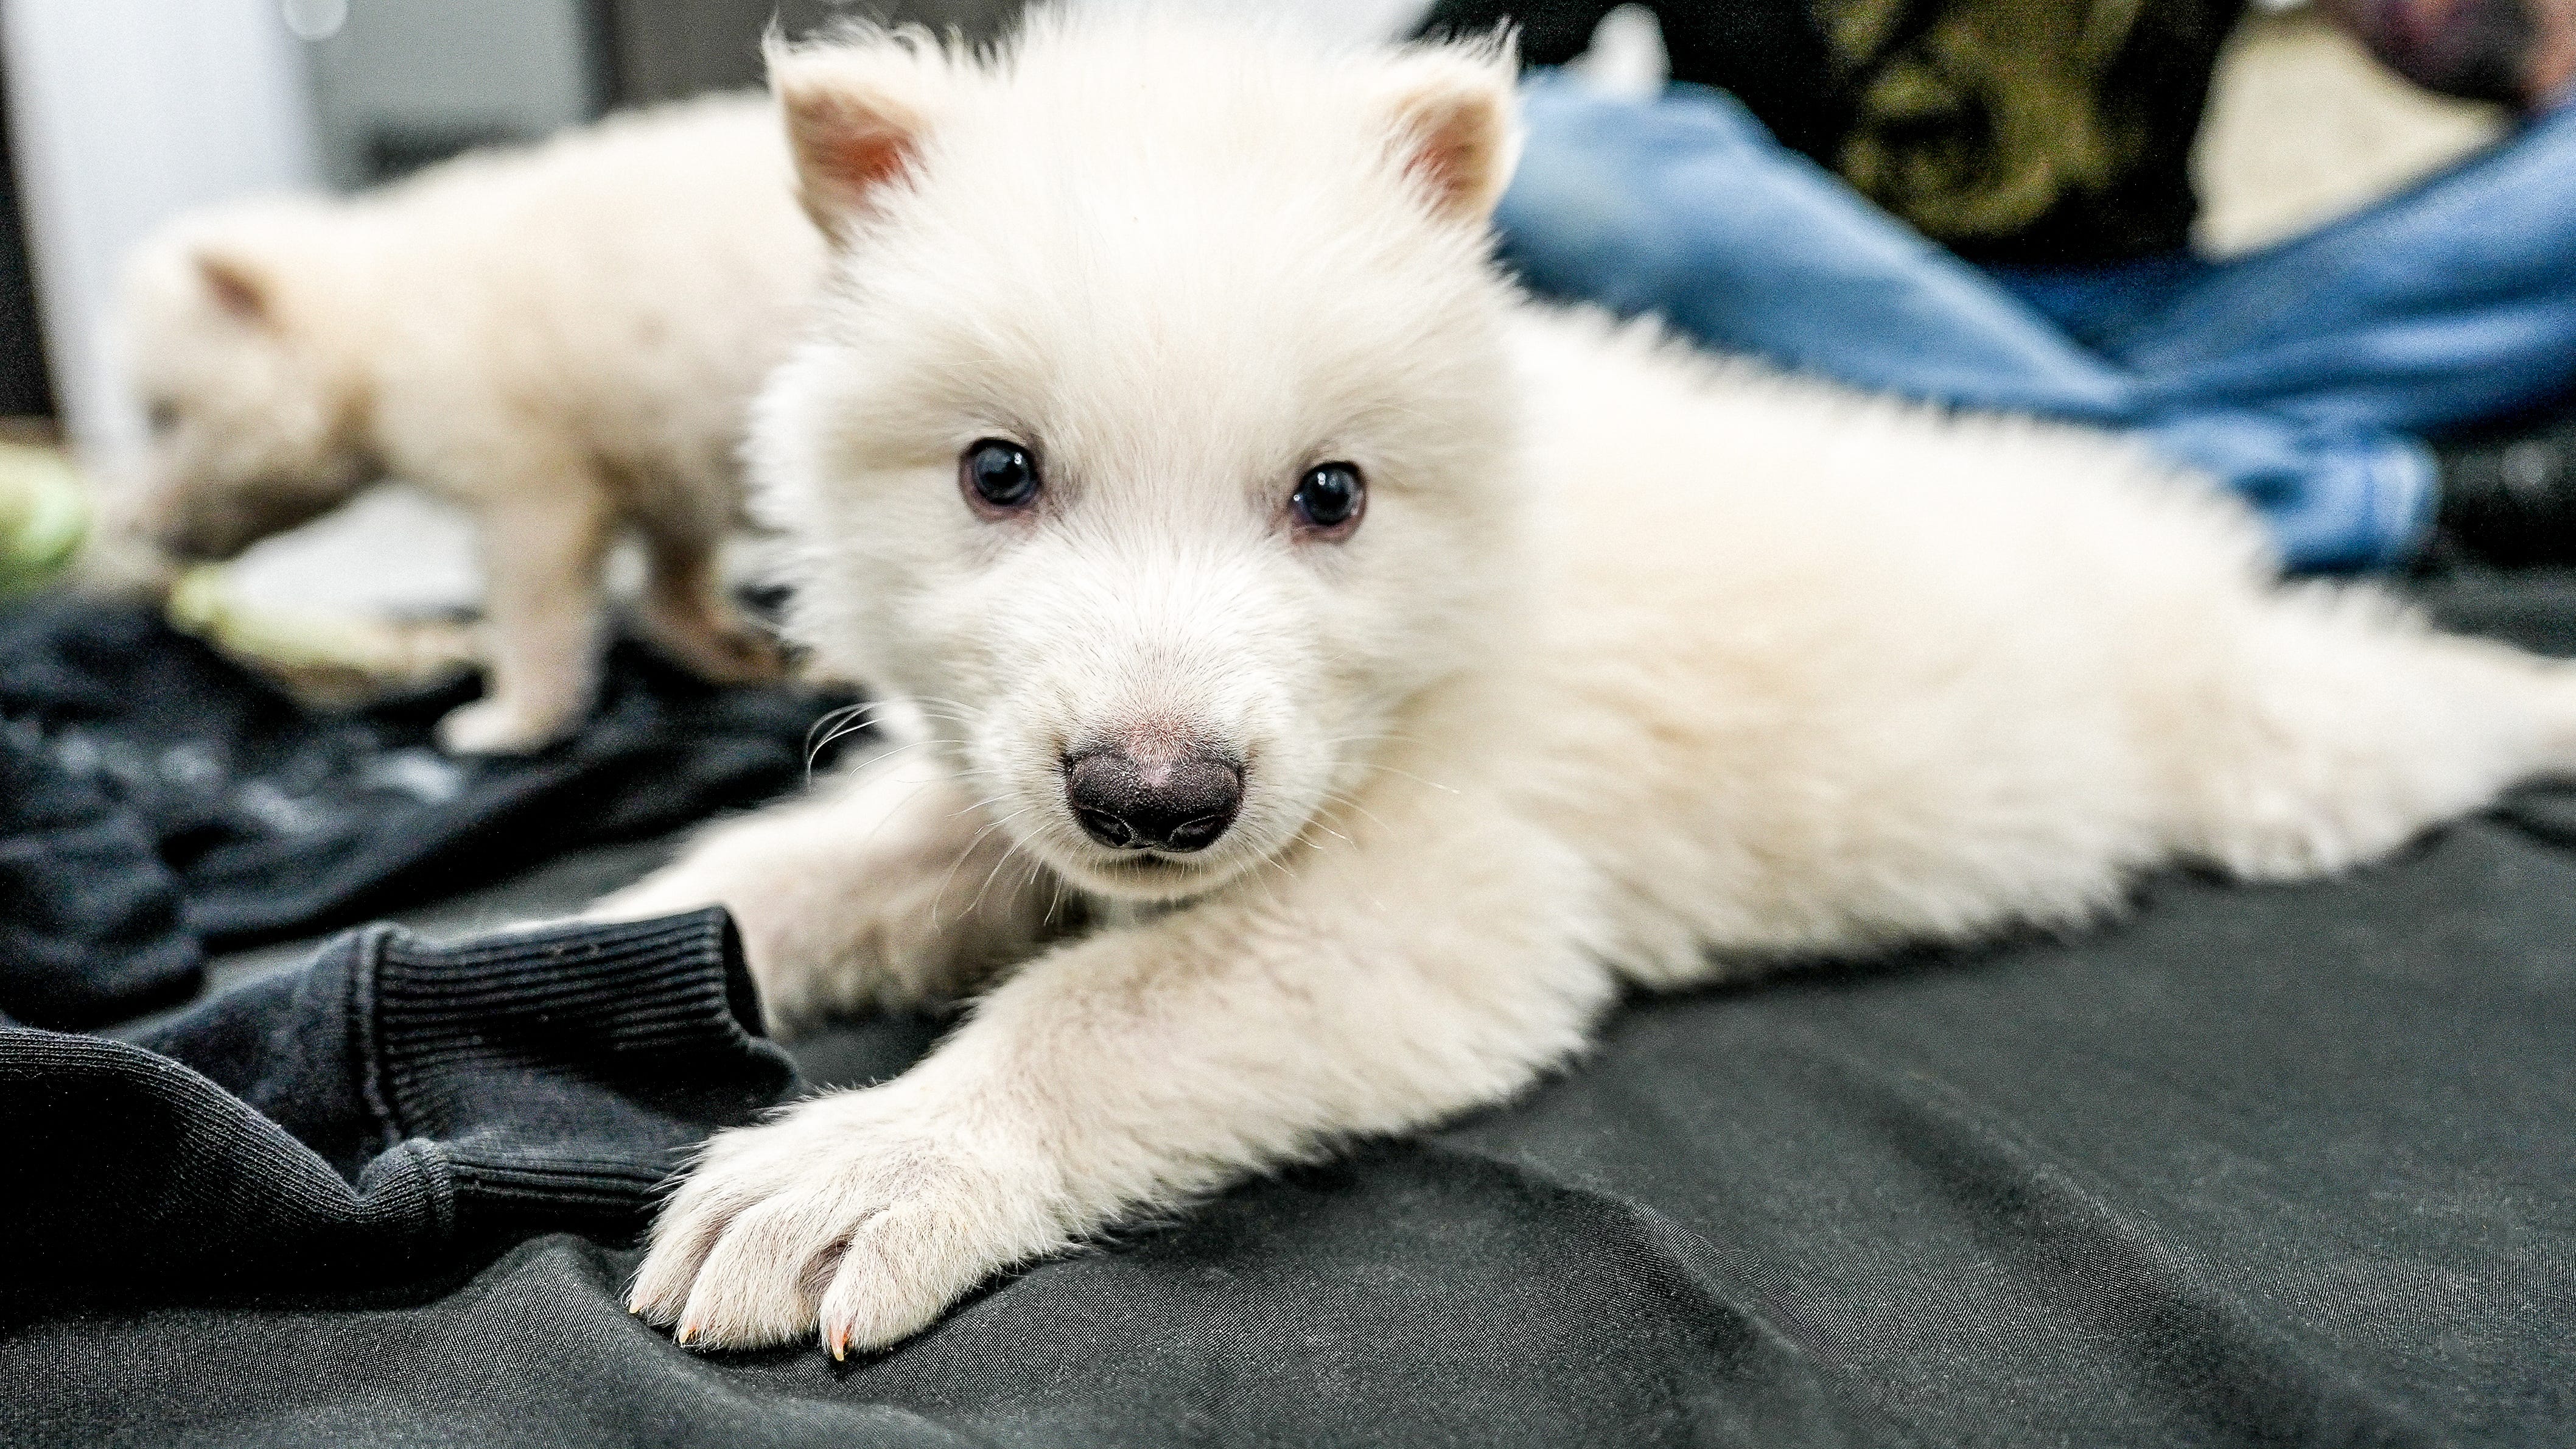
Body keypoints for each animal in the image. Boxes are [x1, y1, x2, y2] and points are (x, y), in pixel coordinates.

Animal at [118, 97, 822, 752]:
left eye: (163, 418)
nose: (133, 526)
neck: (376, 316)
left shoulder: (528, 475)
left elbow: (531, 598)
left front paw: (514, 720)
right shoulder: (652, 446)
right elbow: (674, 563)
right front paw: (723, 646)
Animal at [600, 11, 2576, 1355]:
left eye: (1331, 494)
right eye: (997, 473)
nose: (1157, 799)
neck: (1450, 630)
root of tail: (2181, 546)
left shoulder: (1457, 886)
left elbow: (1121, 1007)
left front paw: (869, 1167)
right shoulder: (1008, 789)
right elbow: (804, 868)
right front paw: (596, 946)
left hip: (2271, 742)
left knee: (2408, 699)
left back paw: (2526, 687)